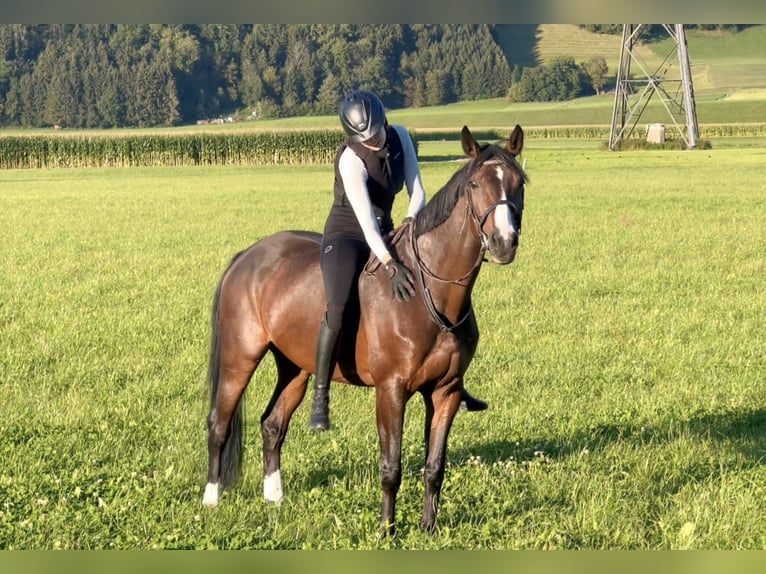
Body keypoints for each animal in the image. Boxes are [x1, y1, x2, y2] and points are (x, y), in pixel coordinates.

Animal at [204, 124, 528, 536]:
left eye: (519, 182)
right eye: (474, 184)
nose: (504, 242)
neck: (427, 293)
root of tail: (246, 256)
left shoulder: (446, 392)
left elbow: (434, 467)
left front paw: (429, 527)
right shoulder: (390, 391)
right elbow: (391, 467)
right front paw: (387, 529)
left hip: (296, 367)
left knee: (272, 425)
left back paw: (274, 497)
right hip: (239, 359)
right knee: (219, 423)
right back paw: (211, 499)